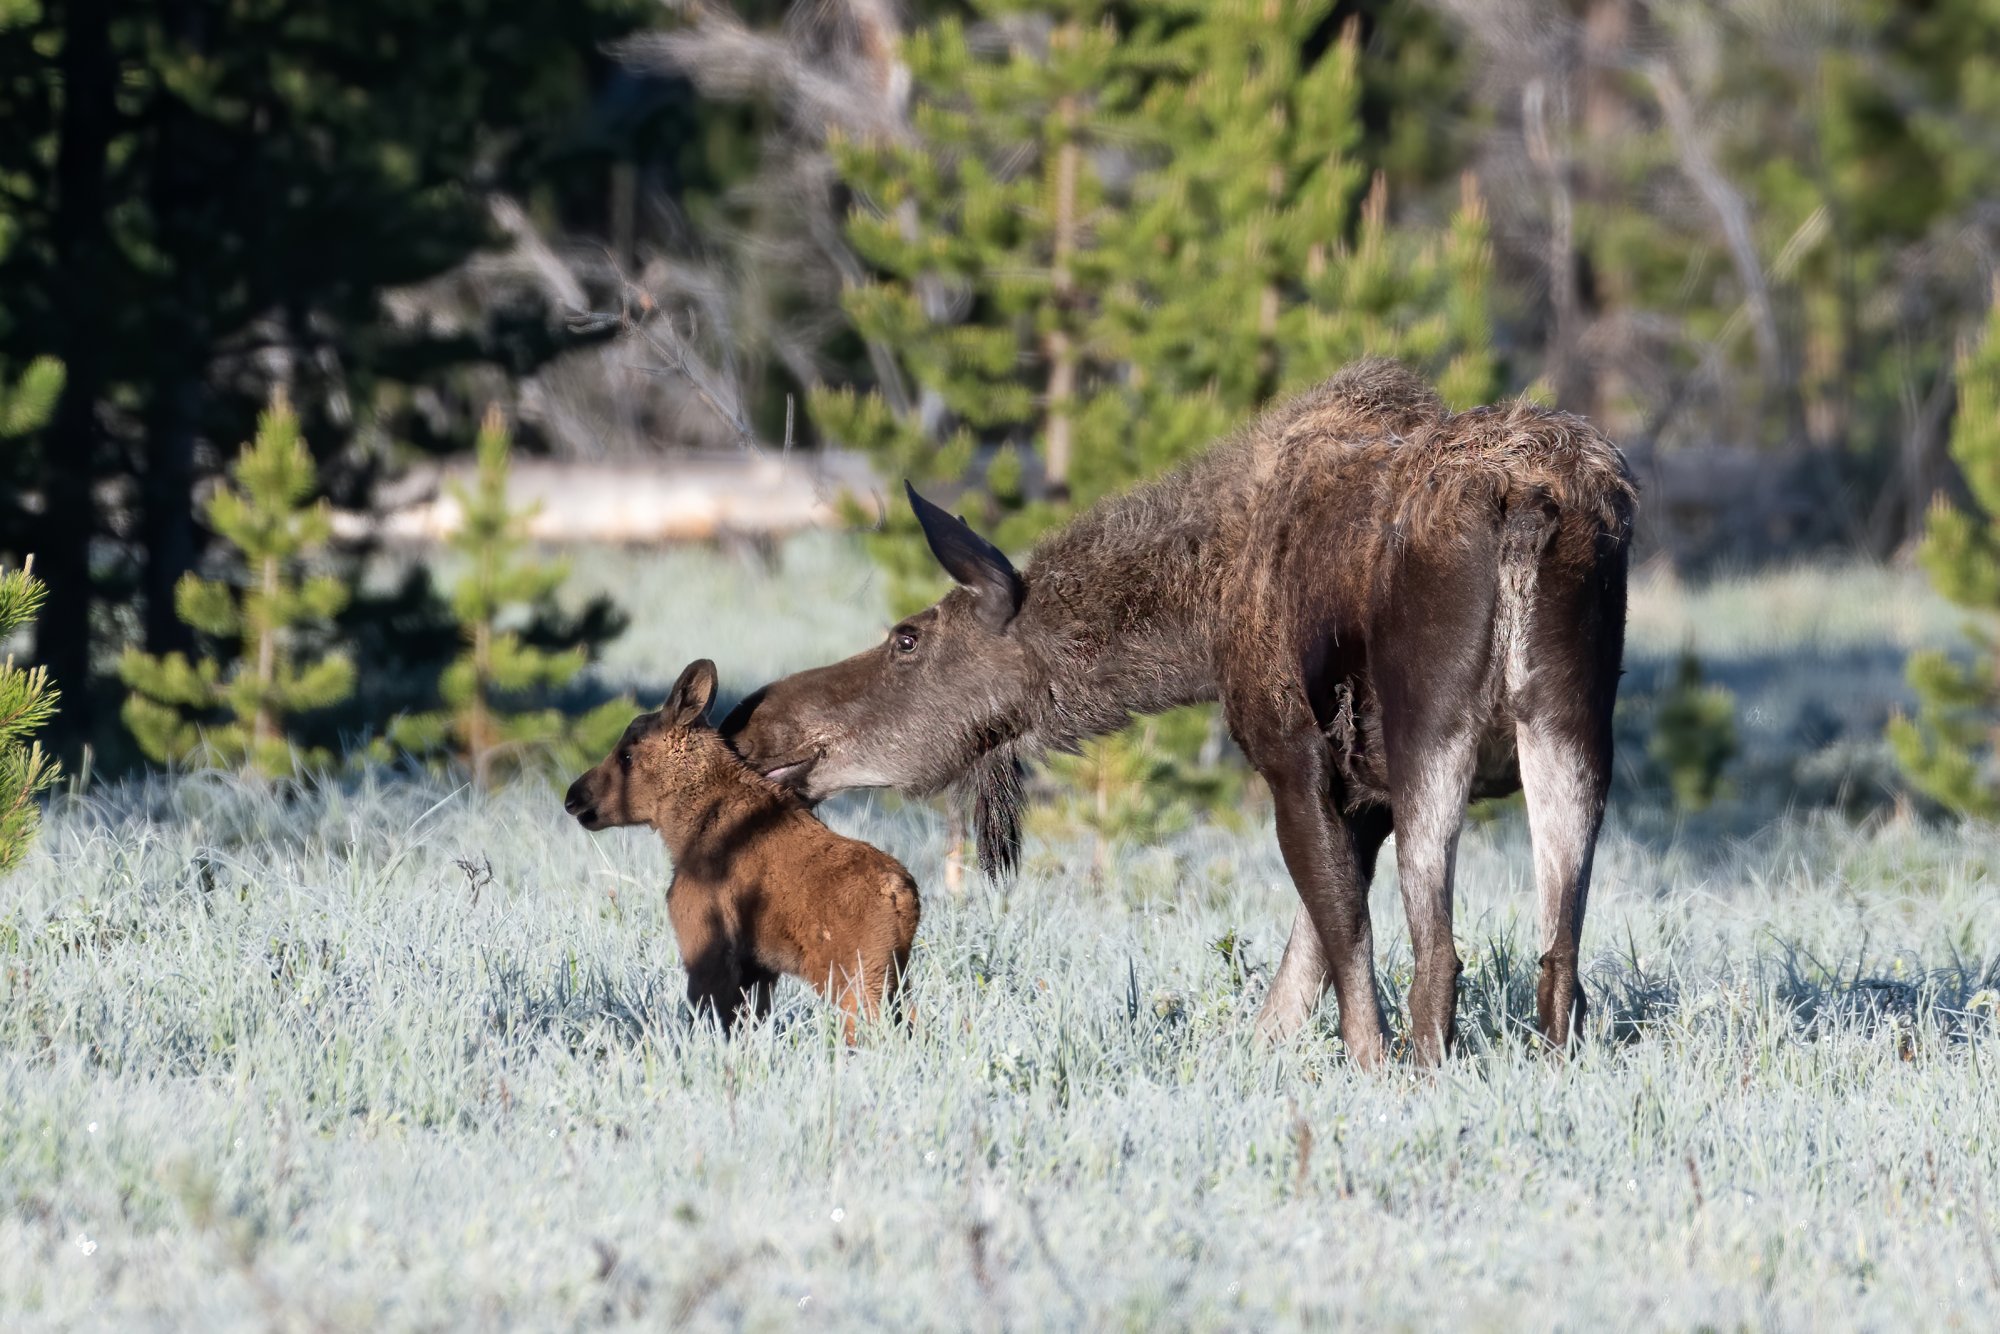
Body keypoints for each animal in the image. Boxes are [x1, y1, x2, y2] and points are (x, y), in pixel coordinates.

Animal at [564, 664, 920, 1040]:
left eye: (626, 755)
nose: (573, 796)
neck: (684, 832)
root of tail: (903, 897)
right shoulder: (759, 970)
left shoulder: (705, 945)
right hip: (898, 979)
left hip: (856, 979)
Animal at [728, 360, 1632, 1072]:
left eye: (907, 638)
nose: (754, 715)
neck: (1201, 613)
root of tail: (1525, 501)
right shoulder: (1363, 793)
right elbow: (1305, 966)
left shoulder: (1296, 758)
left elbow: (1341, 951)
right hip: (1573, 727)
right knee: (1560, 957)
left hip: (1433, 735)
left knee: (1439, 956)